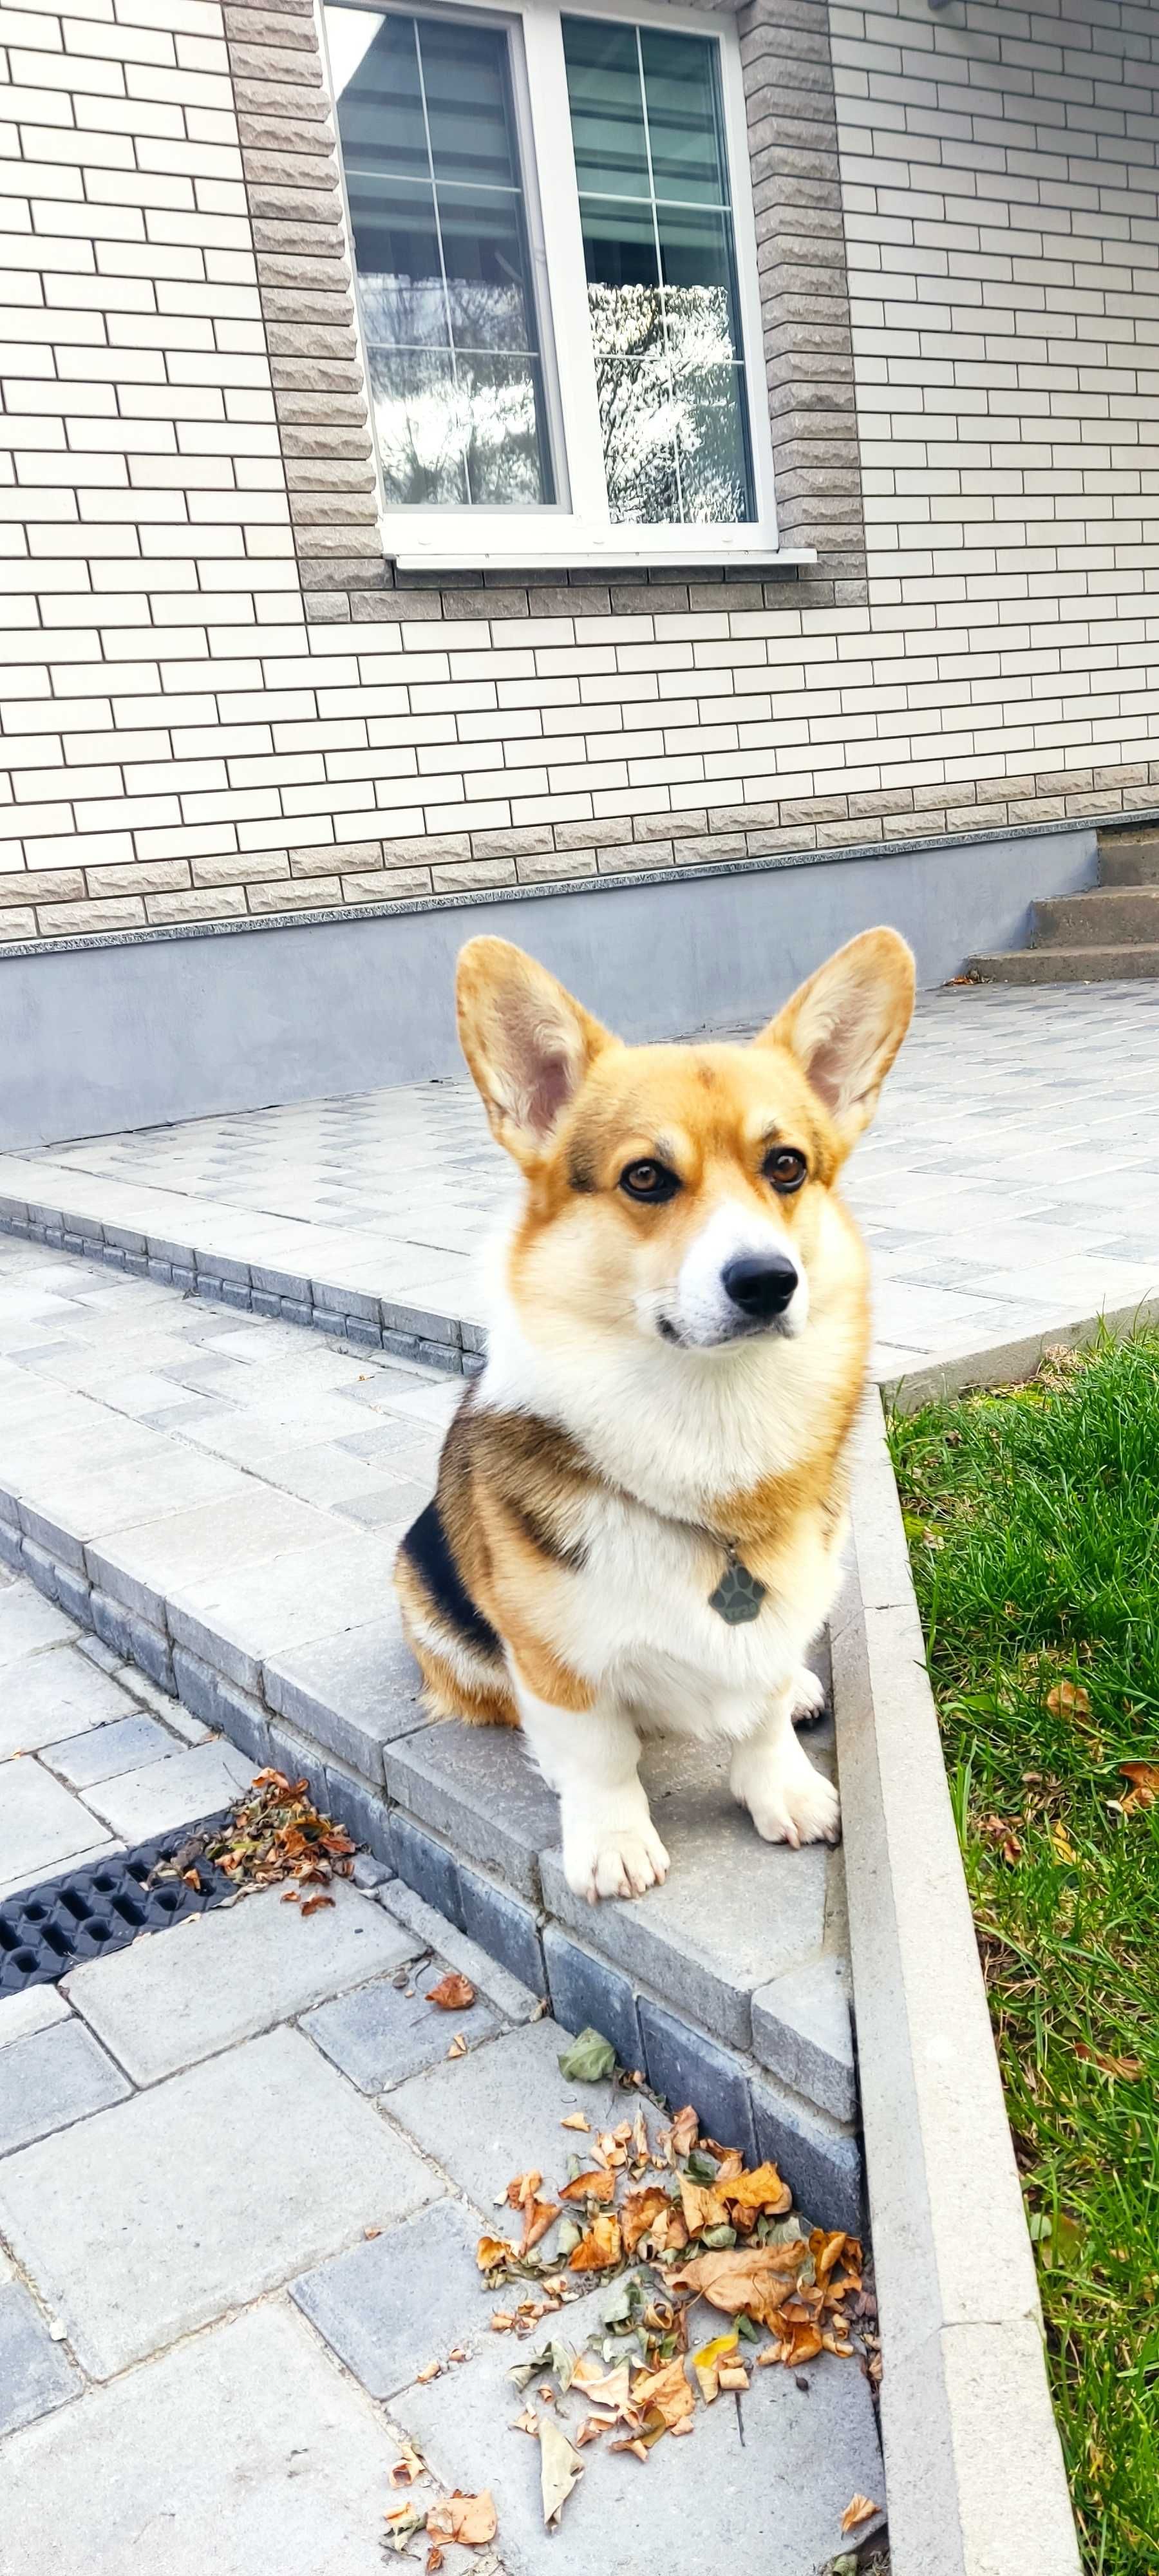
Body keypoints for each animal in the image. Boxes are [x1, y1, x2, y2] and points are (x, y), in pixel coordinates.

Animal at [399, 938, 917, 1906]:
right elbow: (599, 1752)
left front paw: (784, 1785)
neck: (712, 1413)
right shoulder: (556, 1660)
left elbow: (760, 1715)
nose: (768, 1281)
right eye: (646, 1177)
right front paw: (613, 1843)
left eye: (787, 1166)